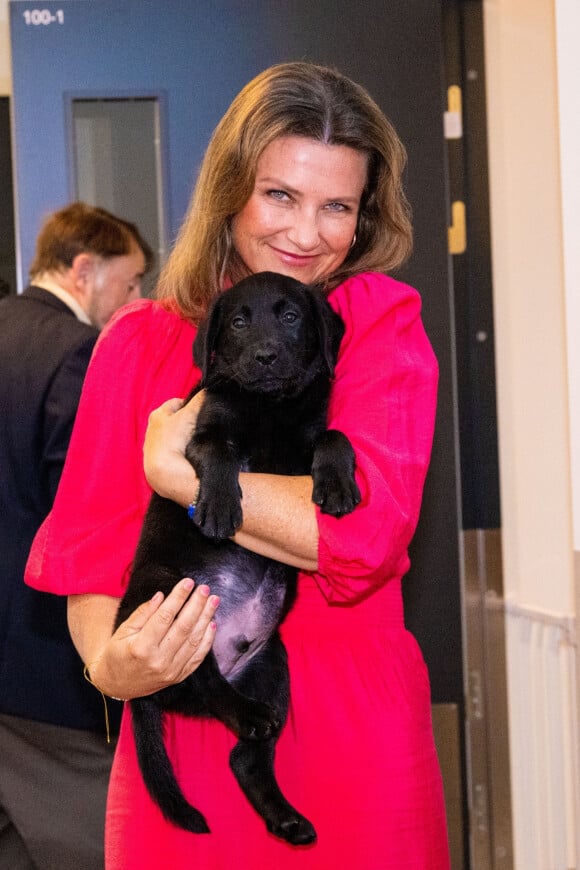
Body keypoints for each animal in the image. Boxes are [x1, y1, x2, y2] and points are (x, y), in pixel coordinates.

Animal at [115, 270, 360, 844]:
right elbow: (218, 451)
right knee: (201, 678)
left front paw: (337, 485)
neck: (270, 407)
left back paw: (286, 817)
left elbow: (334, 435)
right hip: (167, 591)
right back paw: (244, 715)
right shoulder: (203, 428)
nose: (266, 357)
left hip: (272, 663)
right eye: (238, 323)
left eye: (290, 316)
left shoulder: (306, 438)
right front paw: (220, 506)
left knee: (244, 756)